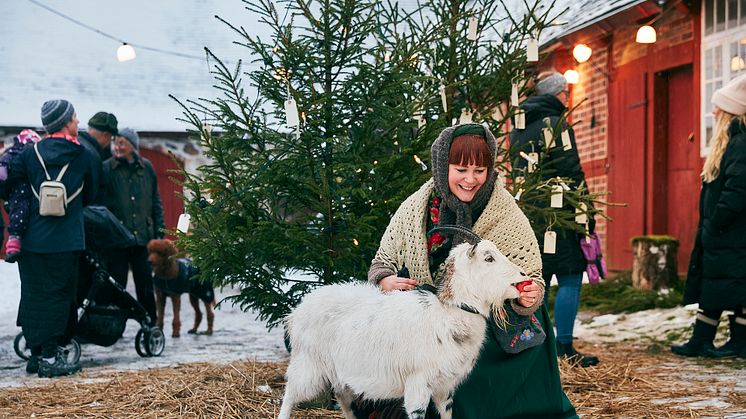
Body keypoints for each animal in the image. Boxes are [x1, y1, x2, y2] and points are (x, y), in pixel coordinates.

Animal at [274, 240, 524, 419]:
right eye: (488, 258)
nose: (523, 275)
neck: (447, 314)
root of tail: (295, 313)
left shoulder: (444, 388)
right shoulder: (418, 384)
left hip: (340, 371)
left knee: (344, 399)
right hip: (308, 363)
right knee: (290, 393)